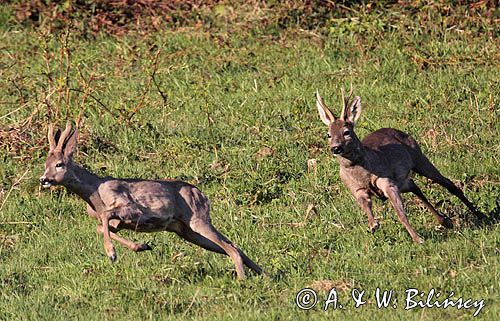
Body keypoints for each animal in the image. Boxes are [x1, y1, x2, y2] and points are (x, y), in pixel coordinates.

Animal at [41, 121, 264, 278]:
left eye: (59, 164)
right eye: (45, 163)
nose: (43, 179)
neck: (94, 193)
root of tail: (201, 195)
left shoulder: (130, 208)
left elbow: (105, 216)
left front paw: (112, 254)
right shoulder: (119, 223)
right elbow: (99, 226)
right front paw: (142, 246)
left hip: (197, 221)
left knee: (231, 248)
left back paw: (242, 279)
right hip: (186, 231)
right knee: (232, 245)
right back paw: (265, 275)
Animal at [316, 87, 484, 242]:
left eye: (346, 132)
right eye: (328, 135)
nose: (336, 148)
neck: (361, 171)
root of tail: (398, 131)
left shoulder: (386, 181)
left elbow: (400, 213)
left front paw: (417, 239)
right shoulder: (356, 189)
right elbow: (366, 206)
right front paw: (373, 224)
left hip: (418, 157)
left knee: (448, 183)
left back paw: (480, 215)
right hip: (403, 180)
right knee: (414, 186)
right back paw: (445, 221)